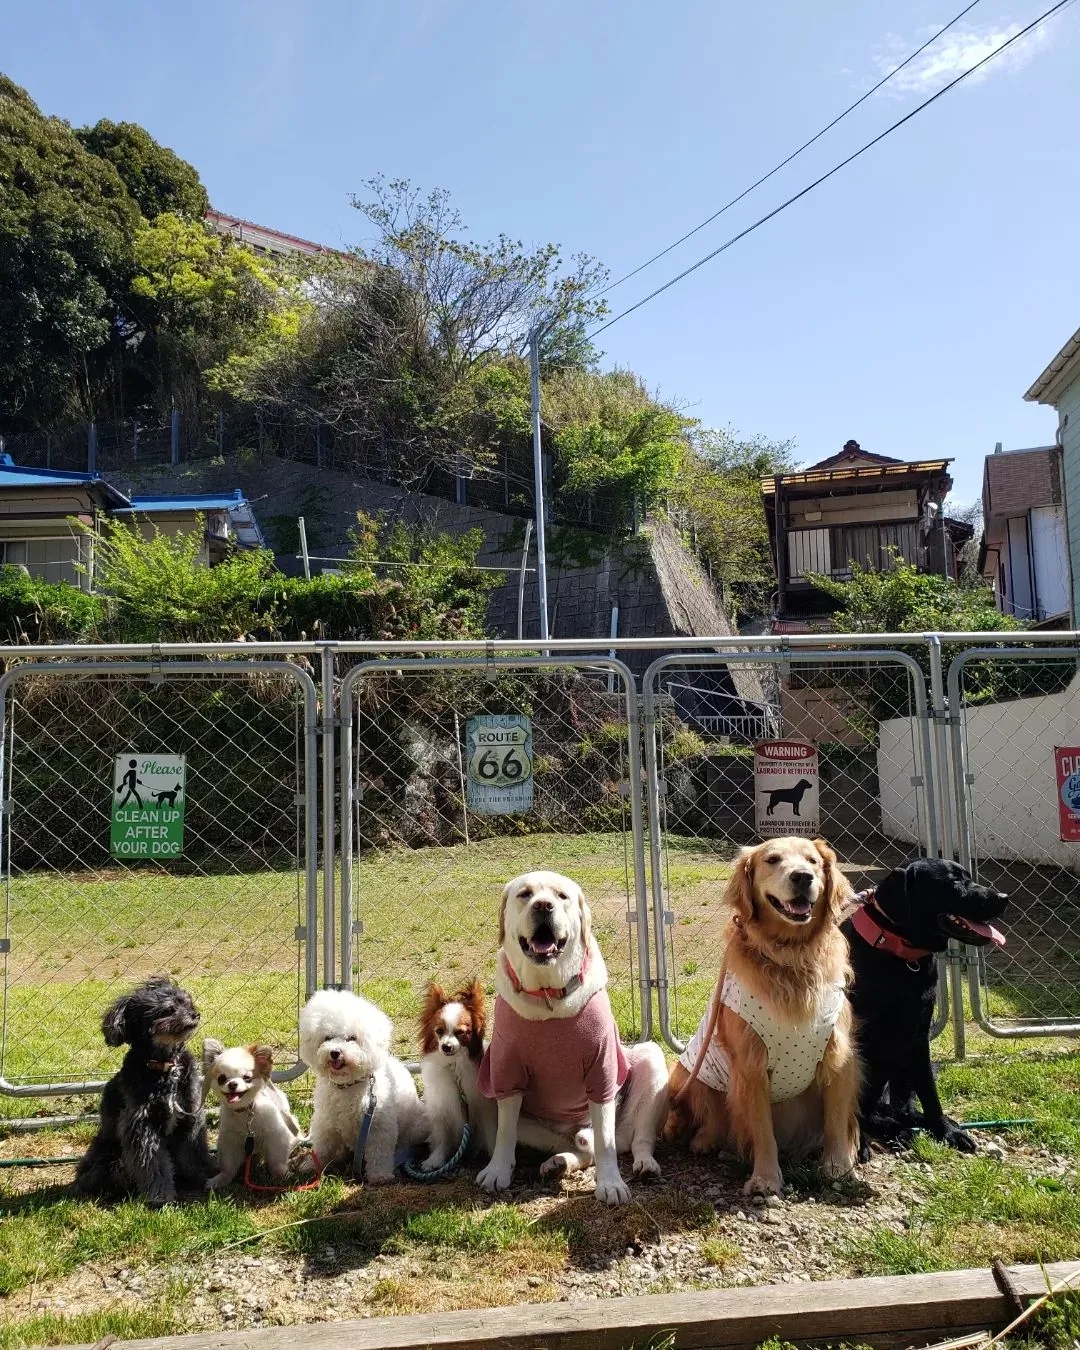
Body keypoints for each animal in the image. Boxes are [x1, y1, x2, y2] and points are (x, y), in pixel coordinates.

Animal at [73, 977, 213, 1209]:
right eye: (169, 1009)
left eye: (186, 1001)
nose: (195, 1014)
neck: (165, 1067)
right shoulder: (142, 1126)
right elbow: (153, 1165)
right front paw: (160, 1197)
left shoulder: (190, 1117)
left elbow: (195, 1154)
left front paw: (207, 1175)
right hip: (109, 1159)